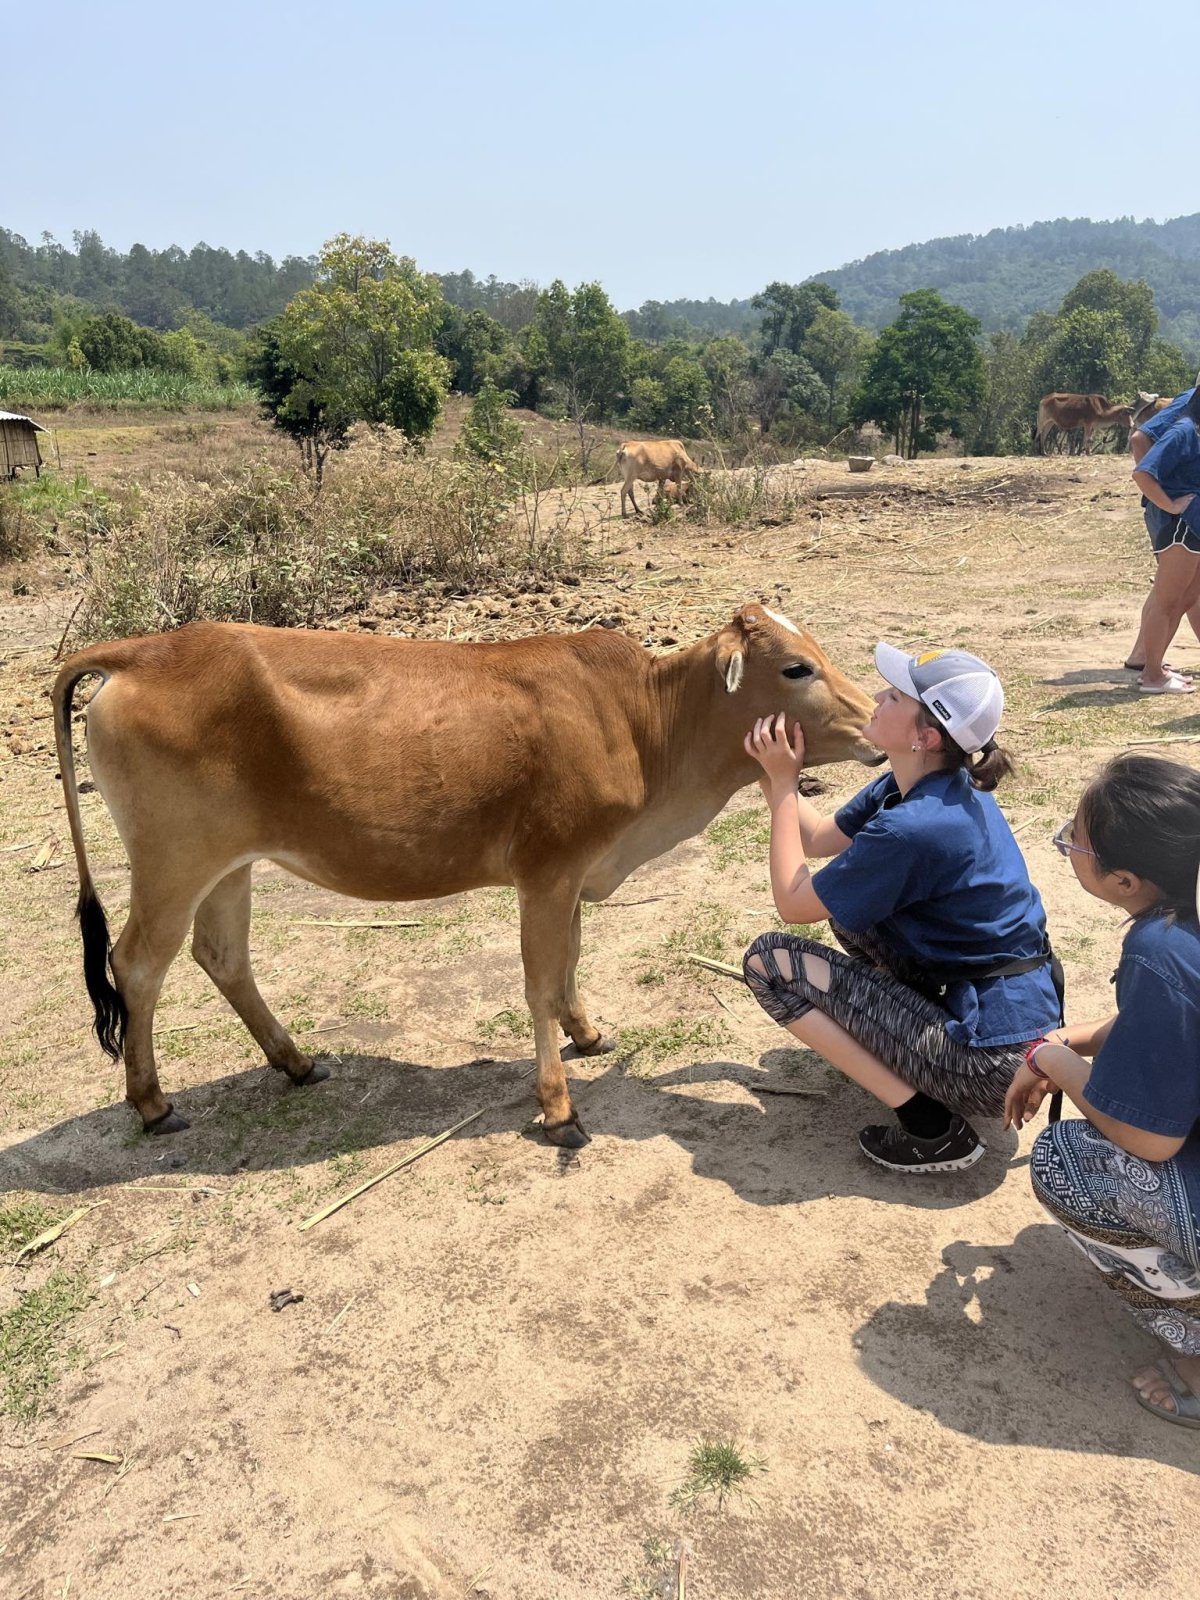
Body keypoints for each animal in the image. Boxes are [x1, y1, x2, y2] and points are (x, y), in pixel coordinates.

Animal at [54, 604, 883, 1145]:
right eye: (796, 666)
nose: (877, 722)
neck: (643, 723)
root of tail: (145, 650)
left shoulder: (571, 872)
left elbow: (569, 963)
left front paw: (587, 1033)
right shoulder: (547, 869)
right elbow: (540, 982)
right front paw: (558, 1107)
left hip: (230, 863)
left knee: (222, 956)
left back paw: (296, 1063)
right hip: (174, 862)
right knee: (137, 964)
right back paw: (153, 1104)